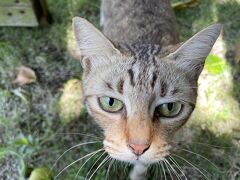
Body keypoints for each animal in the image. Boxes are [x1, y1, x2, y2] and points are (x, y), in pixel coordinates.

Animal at [71, 0, 221, 179]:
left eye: (170, 108)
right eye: (110, 102)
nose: (138, 148)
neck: (143, 37)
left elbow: (145, 163)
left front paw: (138, 174)